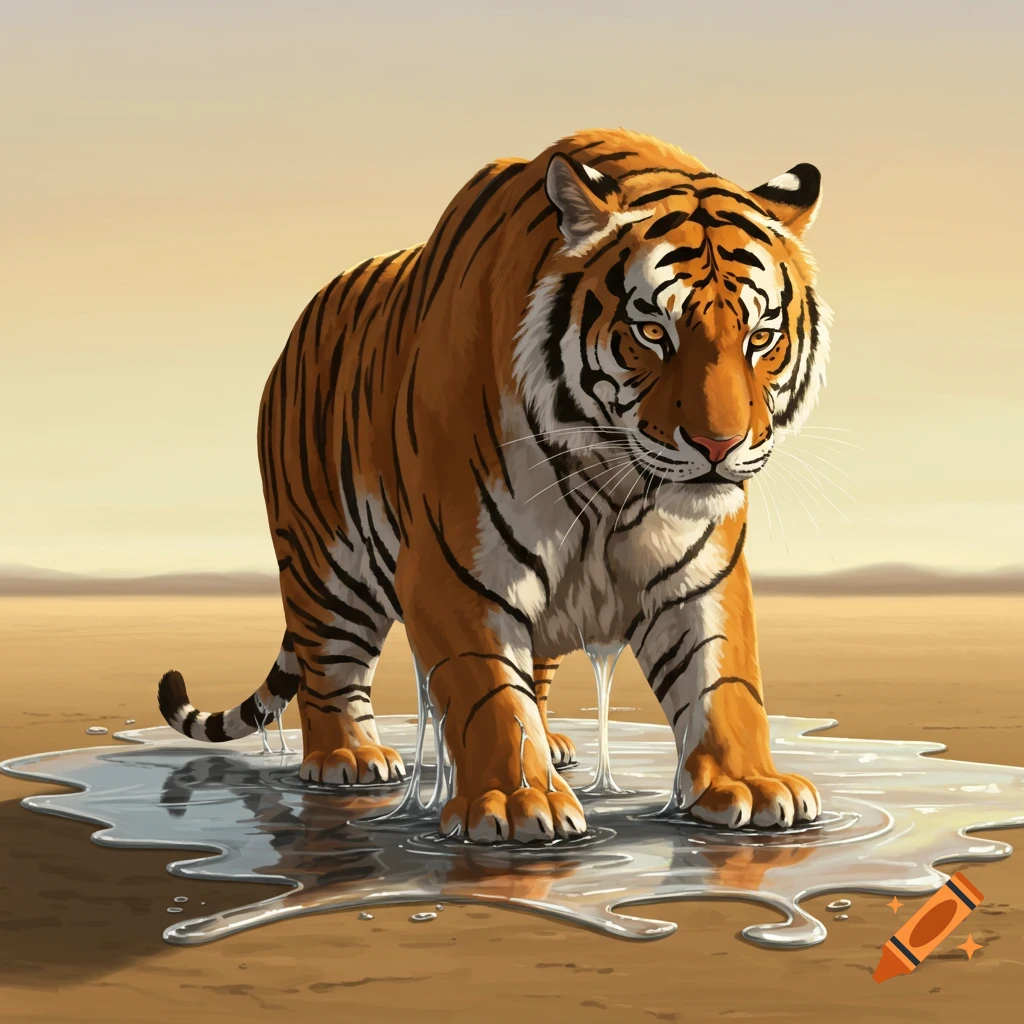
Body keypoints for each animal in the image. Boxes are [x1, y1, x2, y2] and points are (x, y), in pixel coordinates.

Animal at [157, 128, 830, 844]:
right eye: (653, 331)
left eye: (760, 336)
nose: (719, 447)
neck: (610, 482)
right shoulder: (455, 568)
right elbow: (490, 694)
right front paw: (517, 801)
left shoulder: (701, 569)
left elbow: (722, 679)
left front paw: (750, 785)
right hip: (324, 564)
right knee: (329, 666)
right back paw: (350, 757)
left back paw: (554, 745)